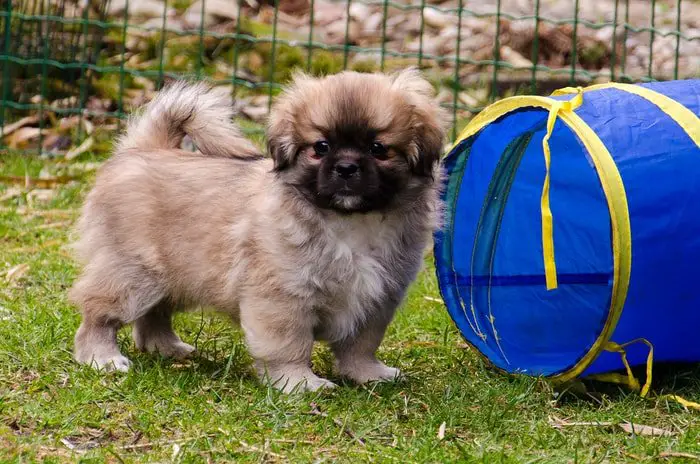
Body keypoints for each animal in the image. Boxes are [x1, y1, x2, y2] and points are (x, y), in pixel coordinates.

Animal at [68, 70, 446, 394]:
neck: (348, 222)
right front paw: (299, 382)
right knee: (98, 312)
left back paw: (167, 348)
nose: (346, 167)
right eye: (320, 147)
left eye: (378, 149)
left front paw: (368, 374)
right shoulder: (283, 297)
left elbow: (361, 345)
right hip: (134, 275)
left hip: (173, 277)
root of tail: (143, 148)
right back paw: (102, 357)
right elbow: (290, 346)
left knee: (153, 316)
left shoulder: (377, 300)